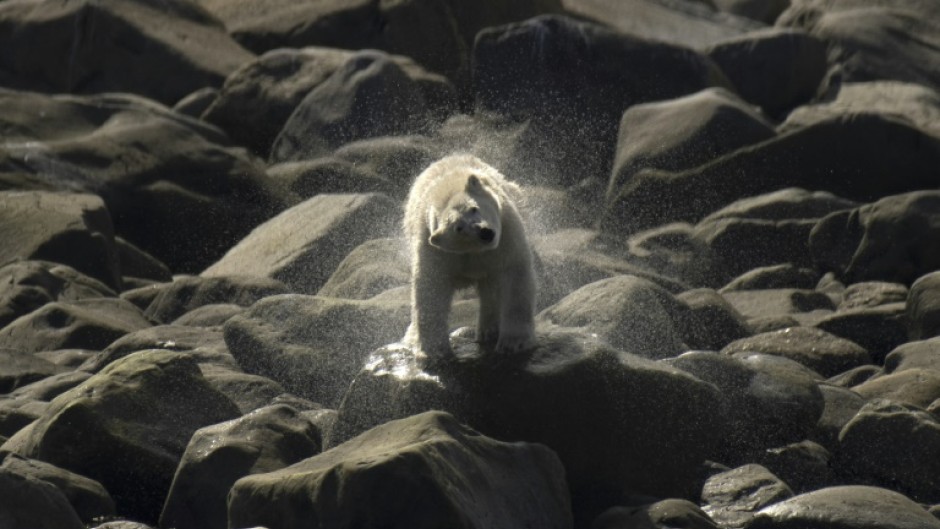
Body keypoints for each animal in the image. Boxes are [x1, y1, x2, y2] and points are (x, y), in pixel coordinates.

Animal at [403, 154, 536, 361]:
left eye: (474, 208)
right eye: (458, 228)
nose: (485, 232)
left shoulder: (506, 234)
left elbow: (514, 274)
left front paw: (513, 343)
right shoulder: (435, 249)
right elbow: (431, 288)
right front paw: (434, 351)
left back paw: (489, 330)